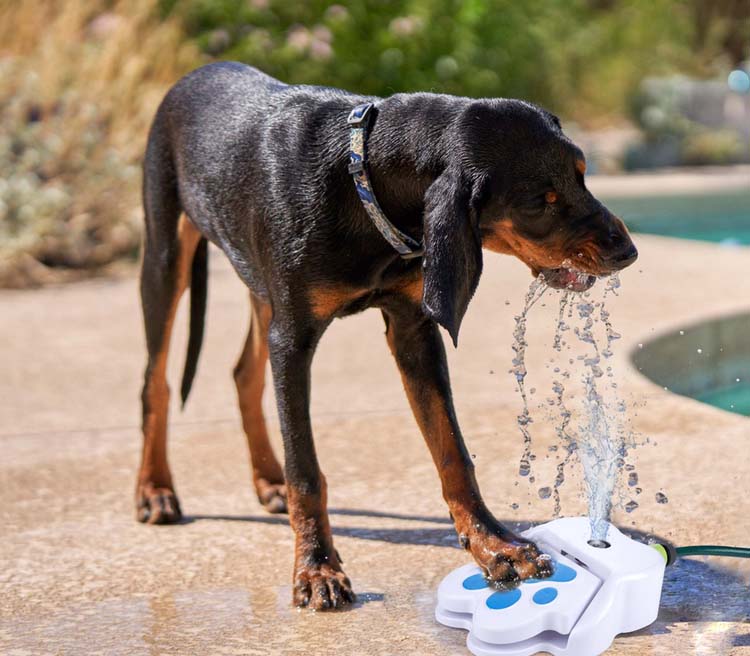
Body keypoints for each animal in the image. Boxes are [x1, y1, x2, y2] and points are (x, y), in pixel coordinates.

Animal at [138, 61, 636, 608]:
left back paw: (267, 479)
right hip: (165, 256)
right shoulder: (292, 339)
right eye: (539, 203)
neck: (361, 177)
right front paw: (317, 568)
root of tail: (199, 70)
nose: (628, 252)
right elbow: (306, 468)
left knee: (243, 372)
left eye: (582, 175)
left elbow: (452, 451)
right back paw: (155, 490)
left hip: (257, 285)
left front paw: (493, 544)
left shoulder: (413, 328)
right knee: (156, 382)